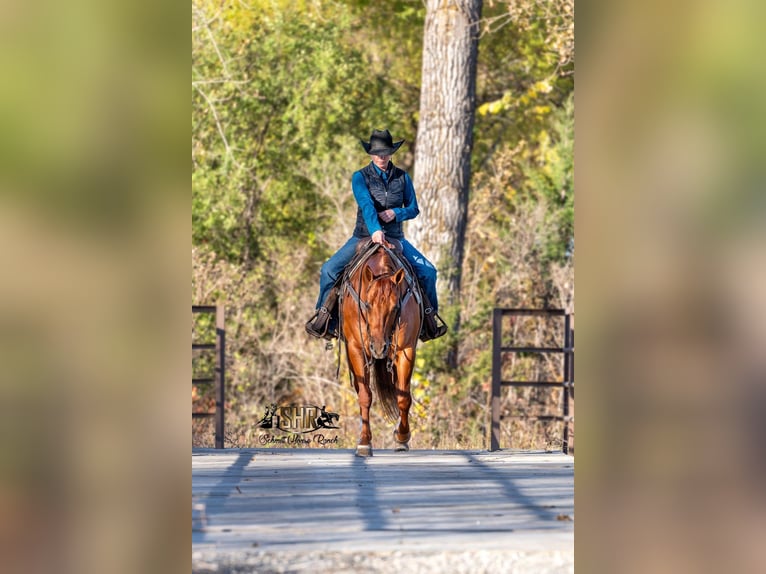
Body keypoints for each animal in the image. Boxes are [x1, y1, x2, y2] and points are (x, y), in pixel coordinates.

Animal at [339, 241, 423, 457]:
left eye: (395, 308)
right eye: (367, 305)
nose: (378, 346)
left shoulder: (406, 350)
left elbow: (403, 397)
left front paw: (402, 437)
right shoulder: (356, 348)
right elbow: (365, 396)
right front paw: (364, 442)